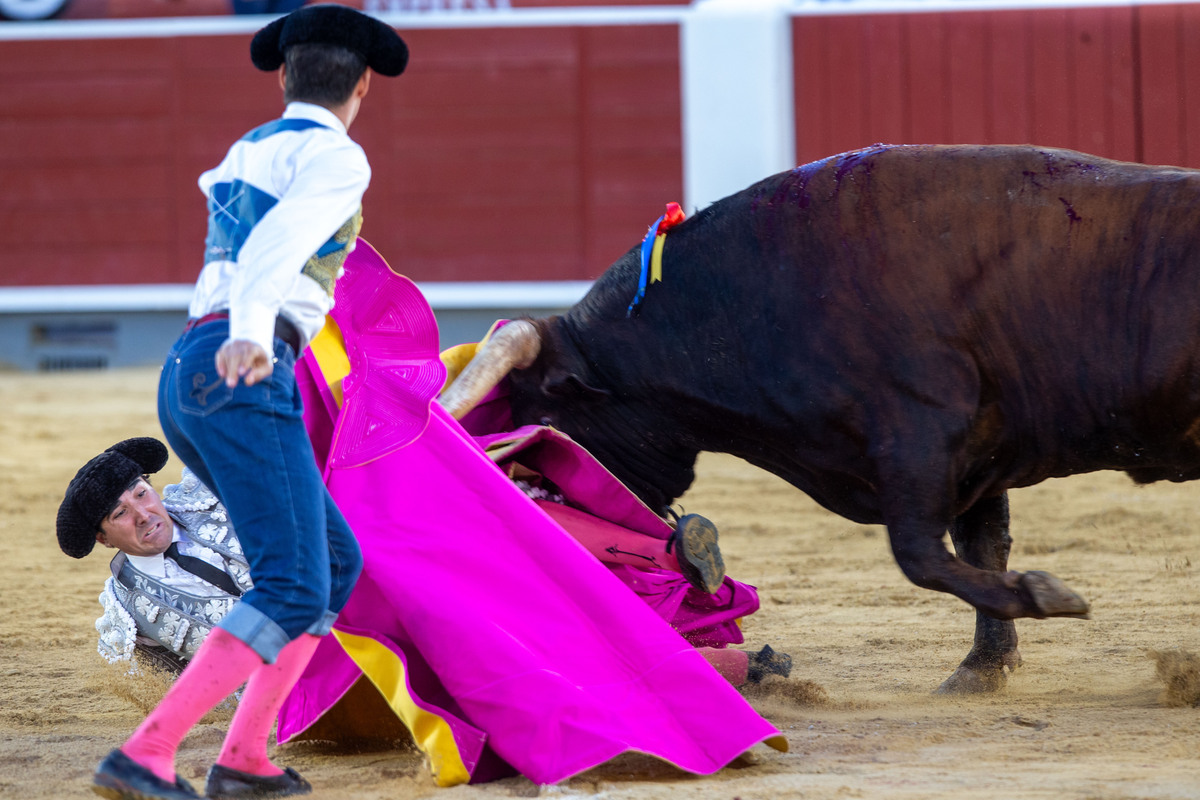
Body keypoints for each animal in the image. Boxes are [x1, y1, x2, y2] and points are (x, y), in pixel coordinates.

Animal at [446, 145, 1200, 695]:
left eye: (542, 409)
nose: (532, 501)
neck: (753, 294)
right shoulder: (977, 456)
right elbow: (982, 545)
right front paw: (984, 667)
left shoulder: (920, 433)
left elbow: (922, 555)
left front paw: (1047, 596)